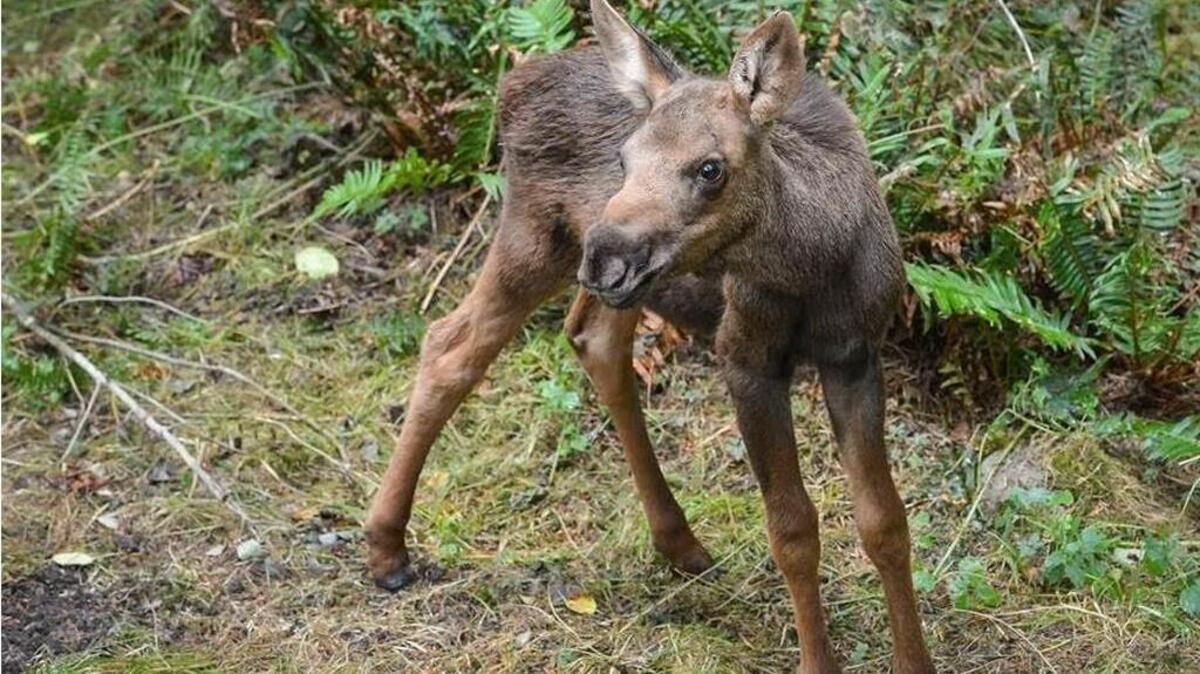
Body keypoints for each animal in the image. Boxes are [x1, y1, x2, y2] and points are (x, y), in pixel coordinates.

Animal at [365, 2, 935, 672]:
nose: (605, 257)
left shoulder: (856, 354)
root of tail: (512, 85)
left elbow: (885, 520)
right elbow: (792, 529)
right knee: (448, 345)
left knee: (591, 341)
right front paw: (818, 661)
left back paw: (678, 540)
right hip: (536, 236)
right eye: (624, 159)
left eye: (710, 168)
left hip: (618, 283)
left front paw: (916, 662)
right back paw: (386, 546)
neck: (818, 264)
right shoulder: (745, 358)